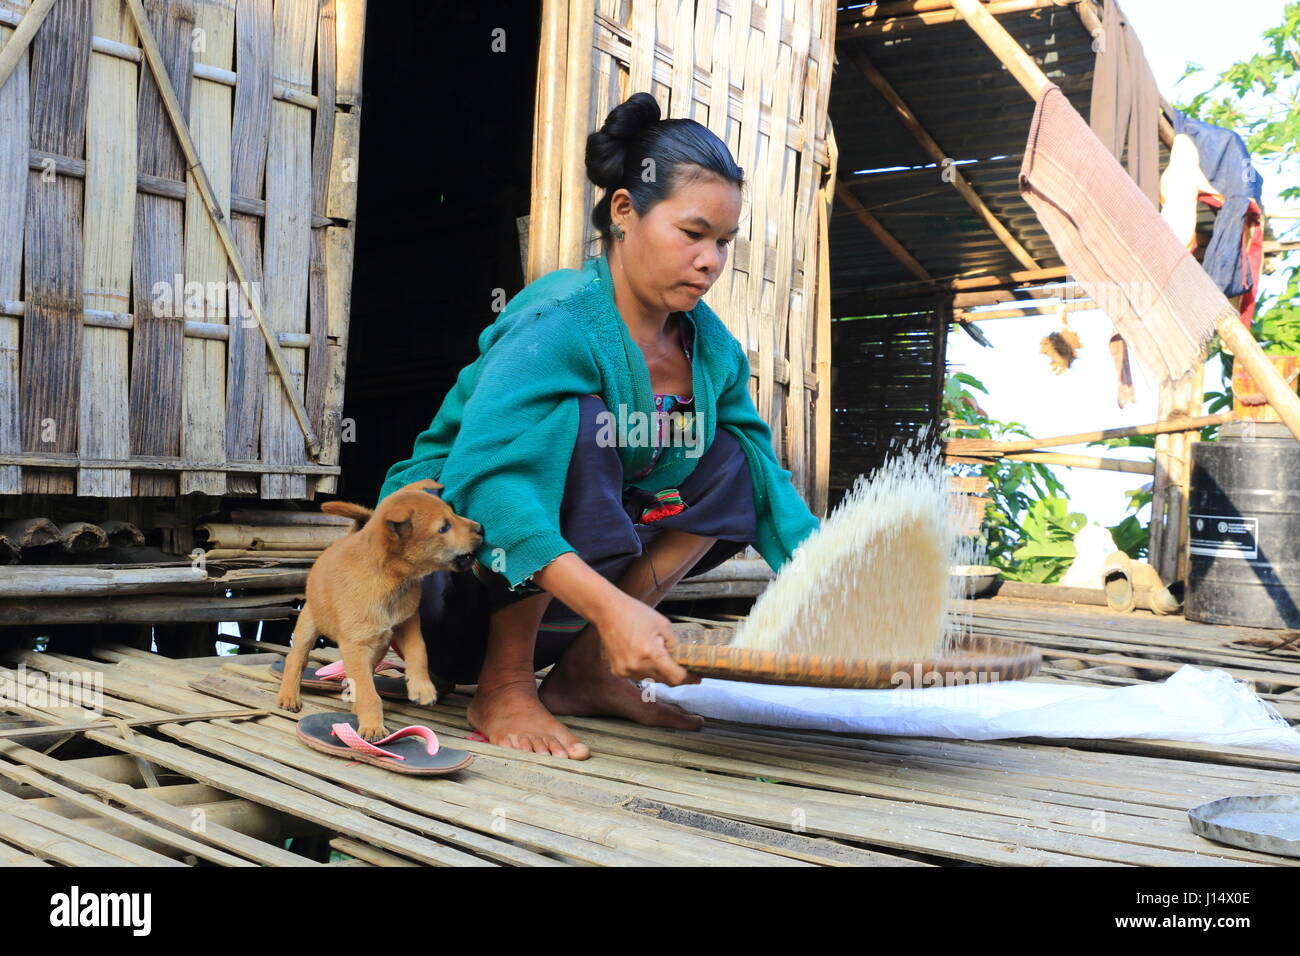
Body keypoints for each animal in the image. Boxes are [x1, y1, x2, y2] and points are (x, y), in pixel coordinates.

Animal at [274, 478, 483, 738]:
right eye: (444, 527)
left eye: (453, 512)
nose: (482, 528)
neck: (391, 581)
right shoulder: (355, 645)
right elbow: (368, 692)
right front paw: (373, 725)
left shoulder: (407, 623)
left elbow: (419, 651)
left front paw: (421, 687)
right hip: (310, 622)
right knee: (297, 659)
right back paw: (289, 696)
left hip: (381, 644)